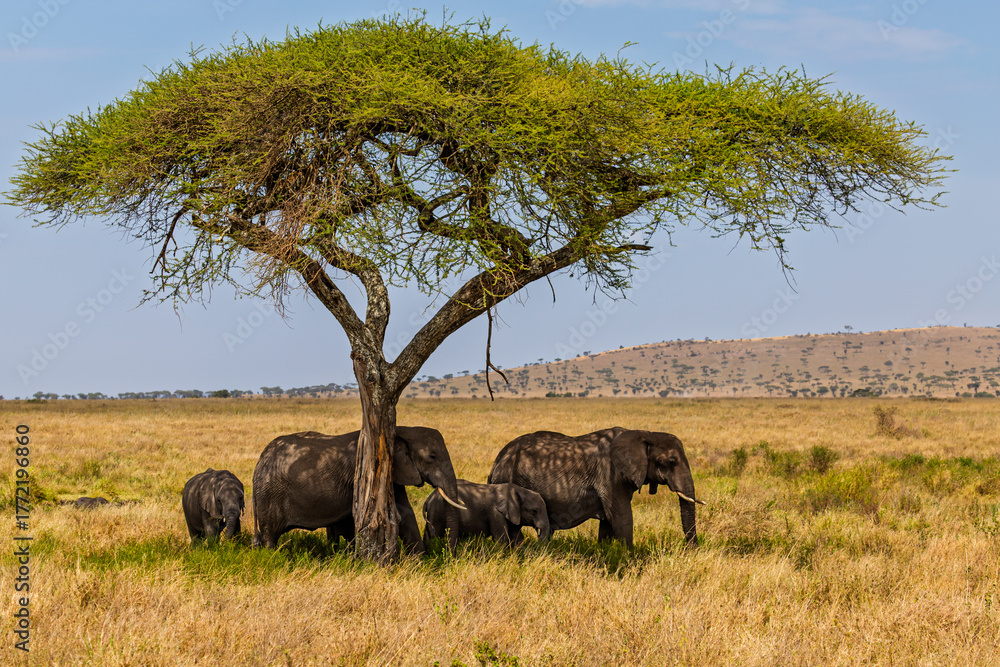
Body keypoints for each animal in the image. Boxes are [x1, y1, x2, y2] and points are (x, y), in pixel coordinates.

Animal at [251, 426, 466, 553]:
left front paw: (420, 563)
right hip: (269, 494)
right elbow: (402, 513)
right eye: (432, 456)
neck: (402, 429)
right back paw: (272, 557)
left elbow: (406, 512)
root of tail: (260, 461)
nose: (449, 555)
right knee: (270, 535)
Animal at [423, 479, 551, 548]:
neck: (519, 490)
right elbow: (502, 539)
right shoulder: (495, 513)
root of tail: (429, 498)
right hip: (437, 511)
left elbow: (517, 538)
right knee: (433, 536)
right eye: (534, 511)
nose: (539, 535)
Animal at [488, 427, 703, 547]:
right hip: (508, 480)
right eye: (669, 462)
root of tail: (497, 460)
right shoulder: (610, 475)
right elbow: (622, 518)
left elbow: (608, 522)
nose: (690, 551)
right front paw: (629, 558)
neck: (644, 434)